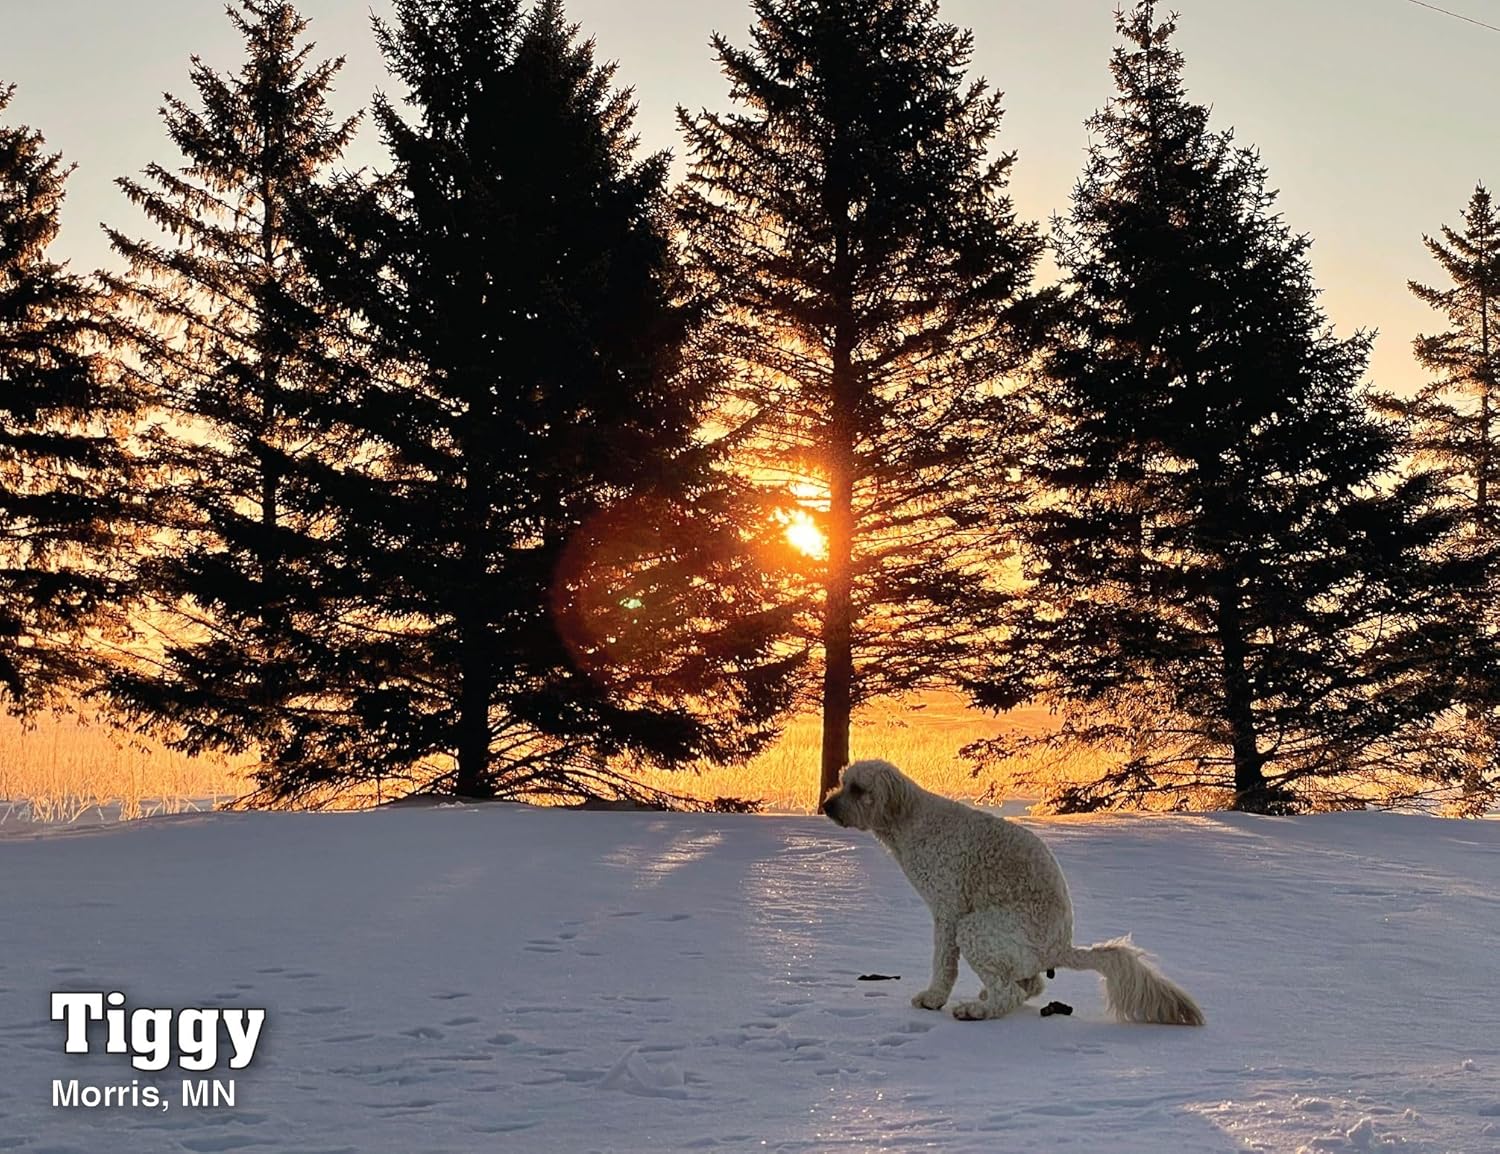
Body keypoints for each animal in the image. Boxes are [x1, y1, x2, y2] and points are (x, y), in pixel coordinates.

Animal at [828, 762, 1200, 1020]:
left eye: (858, 788)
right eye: (844, 782)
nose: (828, 806)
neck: (910, 820)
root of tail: (1060, 948)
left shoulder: (948, 911)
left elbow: (944, 964)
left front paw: (934, 998)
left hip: (978, 929)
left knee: (1009, 993)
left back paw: (977, 1010)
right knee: (1030, 985)